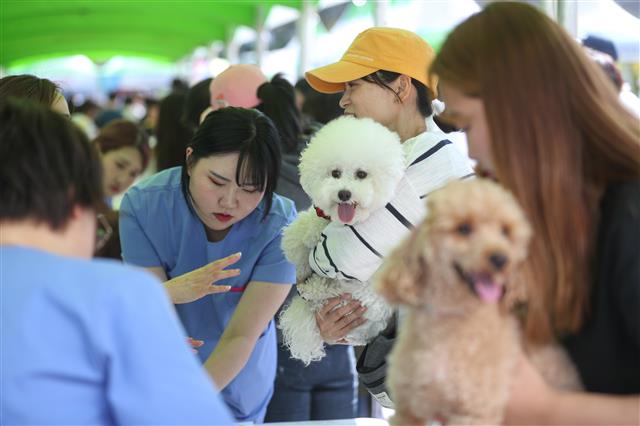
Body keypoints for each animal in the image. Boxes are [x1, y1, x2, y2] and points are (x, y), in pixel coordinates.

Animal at [278, 115, 404, 364]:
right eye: (335, 173)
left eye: (361, 174)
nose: (344, 194)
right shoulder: (314, 219)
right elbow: (295, 237)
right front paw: (300, 263)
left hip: (369, 294)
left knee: (338, 293)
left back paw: (314, 290)